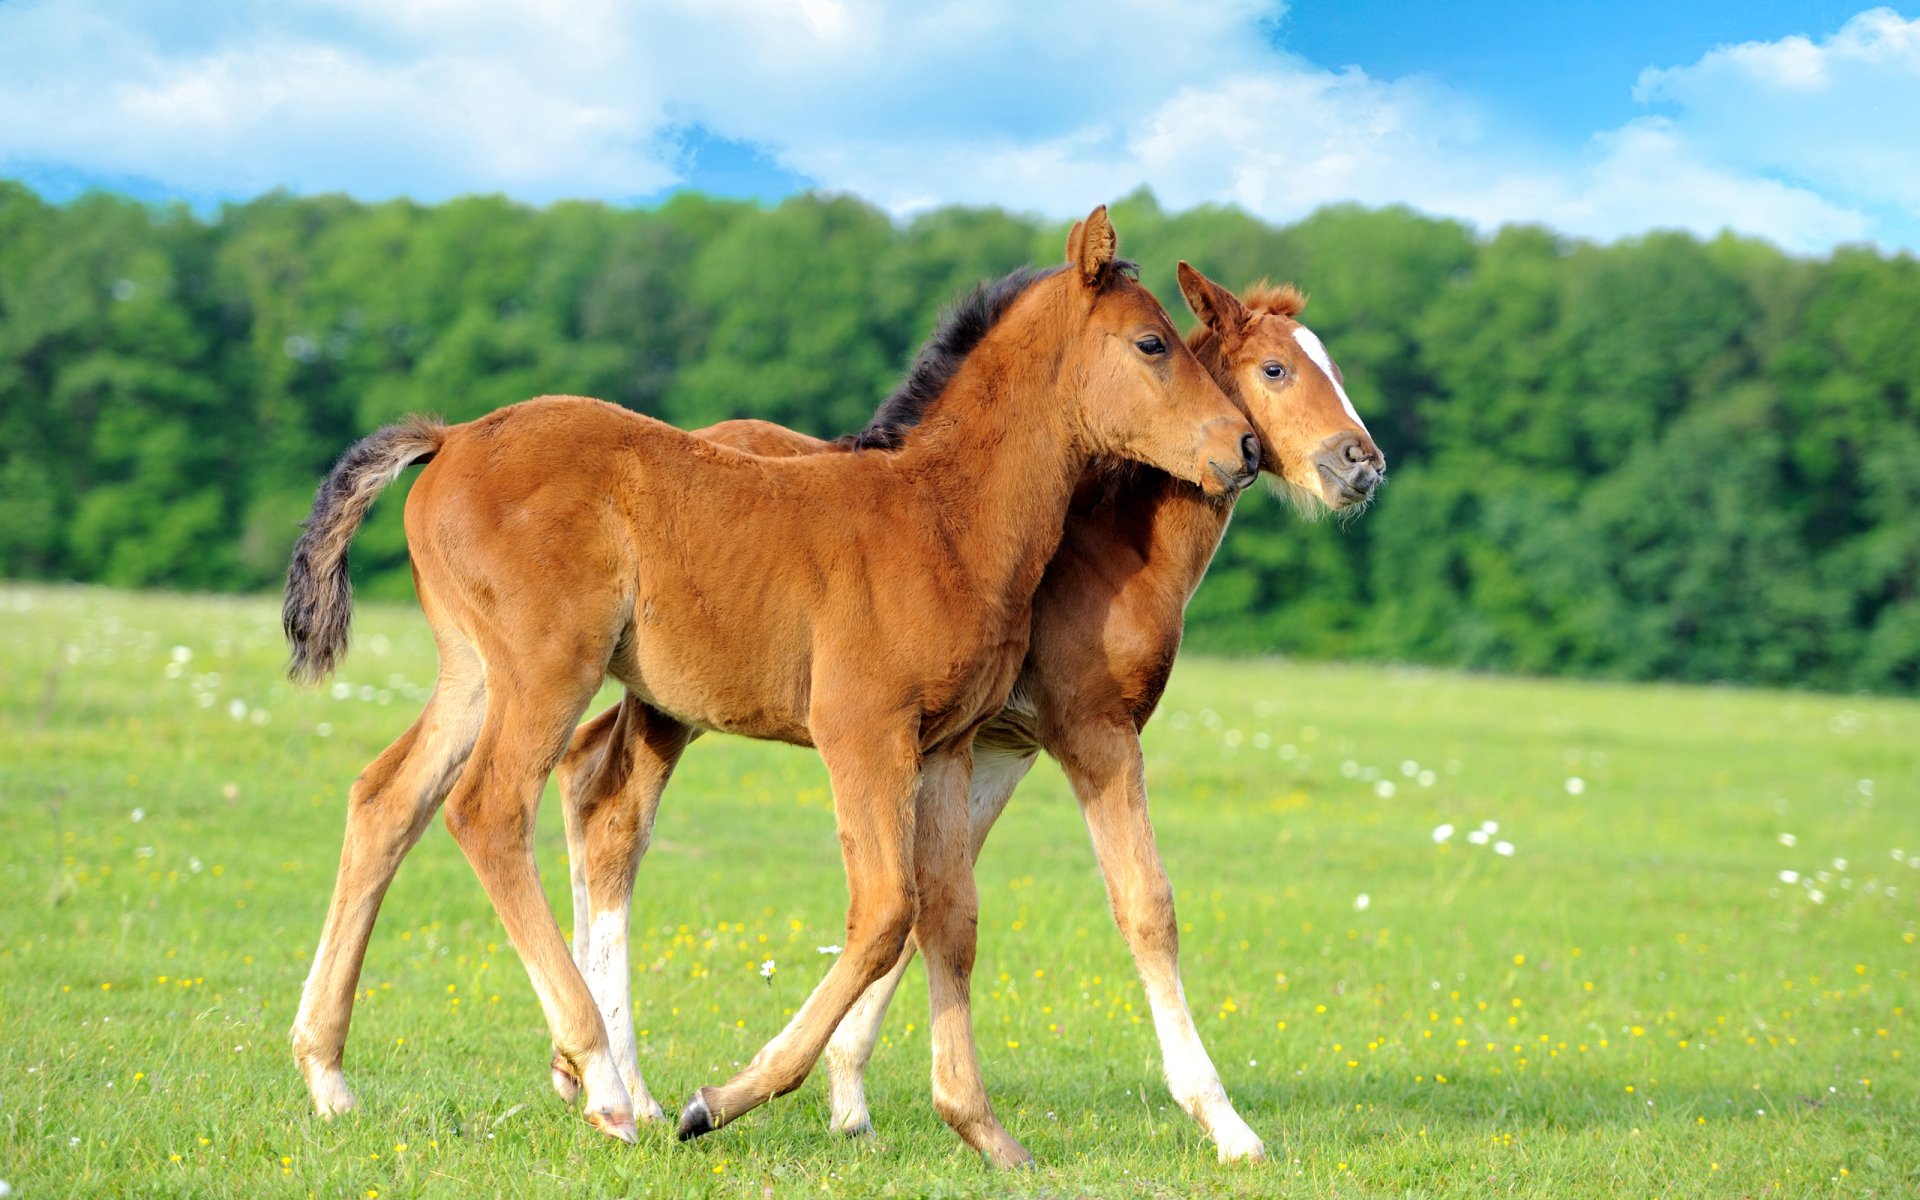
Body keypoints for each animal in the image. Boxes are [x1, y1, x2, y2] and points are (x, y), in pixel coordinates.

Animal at [281, 206, 1259, 1168]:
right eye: (1152, 343)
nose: (1244, 446)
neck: (944, 517)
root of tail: (449, 438)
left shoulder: (946, 744)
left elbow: (949, 917)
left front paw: (982, 1131)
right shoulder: (861, 729)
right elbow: (886, 911)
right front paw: (718, 1102)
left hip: (473, 672)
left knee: (387, 802)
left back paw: (329, 1076)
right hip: (546, 669)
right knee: (487, 810)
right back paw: (603, 1084)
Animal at [551, 262, 1384, 1162]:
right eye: (1276, 369)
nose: (1361, 464)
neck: (1104, 550)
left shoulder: (993, 748)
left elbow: (932, 906)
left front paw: (851, 1097)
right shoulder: (1092, 732)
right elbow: (1144, 906)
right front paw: (1225, 1122)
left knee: (585, 776)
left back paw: (582, 1070)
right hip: (674, 703)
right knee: (616, 819)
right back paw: (626, 1088)